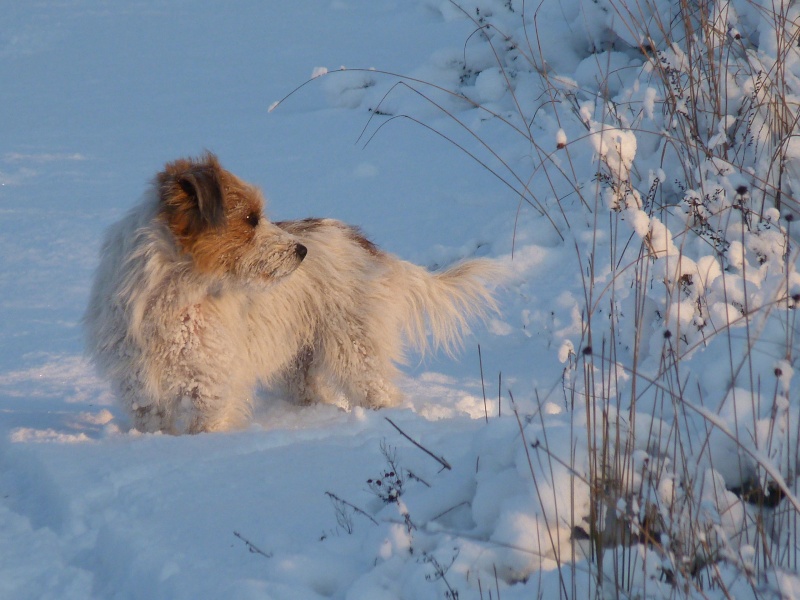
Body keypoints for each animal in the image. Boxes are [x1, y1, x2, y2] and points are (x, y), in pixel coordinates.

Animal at [86, 152, 500, 434]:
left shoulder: (208, 382)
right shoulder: (140, 387)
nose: (302, 251)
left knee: (380, 391)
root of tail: (368, 246)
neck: (179, 294)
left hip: (355, 350)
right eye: (250, 218)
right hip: (299, 362)